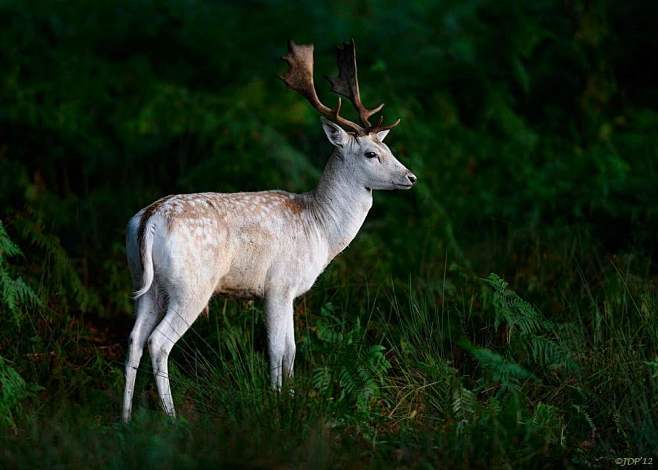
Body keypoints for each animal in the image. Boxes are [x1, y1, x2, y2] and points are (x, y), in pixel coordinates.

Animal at [122, 40, 417, 422]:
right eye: (370, 153)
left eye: (388, 148)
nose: (411, 177)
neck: (320, 227)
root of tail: (150, 218)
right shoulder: (278, 283)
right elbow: (278, 350)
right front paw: (277, 406)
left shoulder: (289, 292)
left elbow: (291, 350)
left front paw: (290, 399)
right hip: (191, 284)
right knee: (159, 342)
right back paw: (172, 418)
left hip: (144, 281)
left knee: (134, 339)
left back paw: (125, 417)